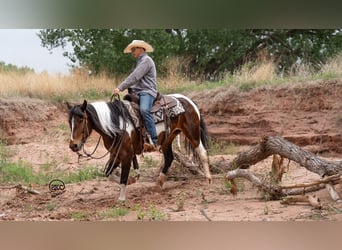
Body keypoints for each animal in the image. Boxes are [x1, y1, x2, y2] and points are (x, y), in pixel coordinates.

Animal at [66, 93, 211, 202]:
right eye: (69, 121)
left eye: (81, 119)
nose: (73, 145)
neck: (116, 124)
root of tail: (188, 100)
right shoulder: (115, 154)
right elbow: (108, 173)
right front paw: (132, 180)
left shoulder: (127, 154)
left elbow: (123, 176)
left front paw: (122, 199)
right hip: (167, 140)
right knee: (169, 158)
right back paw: (158, 184)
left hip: (193, 132)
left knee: (202, 153)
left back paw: (208, 179)